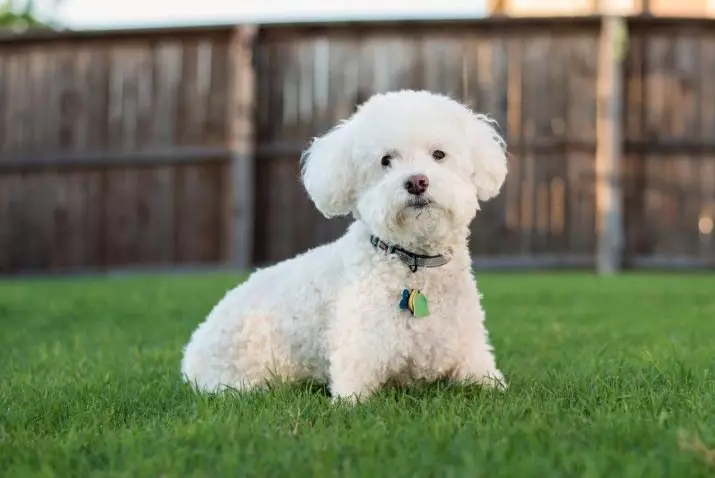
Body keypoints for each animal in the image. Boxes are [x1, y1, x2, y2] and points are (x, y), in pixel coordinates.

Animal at [180, 88, 510, 400]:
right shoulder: (356, 362)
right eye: (386, 160)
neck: (414, 262)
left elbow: (493, 385)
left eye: (439, 154)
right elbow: (352, 399)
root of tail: (190, 355)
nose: (417, 182)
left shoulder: (473, 357)